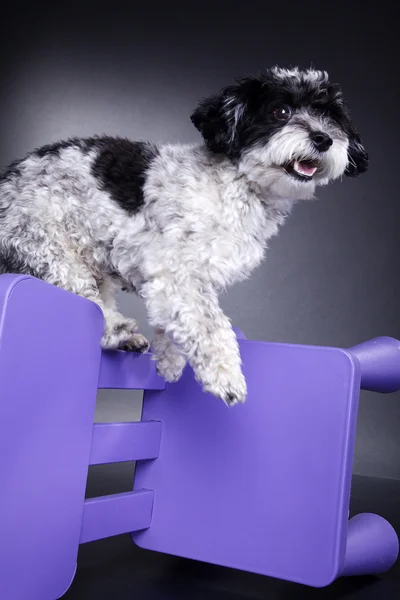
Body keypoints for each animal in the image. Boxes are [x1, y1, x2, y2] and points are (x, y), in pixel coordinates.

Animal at [0, 65, 368, 406]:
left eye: (330, 117)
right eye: (281, 112)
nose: (323, 139)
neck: (235, 183)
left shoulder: (178, 282)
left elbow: (172, 320)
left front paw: (170, 360)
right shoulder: (178, 274)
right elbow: (209, 323)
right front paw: (225, 376)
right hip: (49, 248)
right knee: (86, 300)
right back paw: (118, 329)